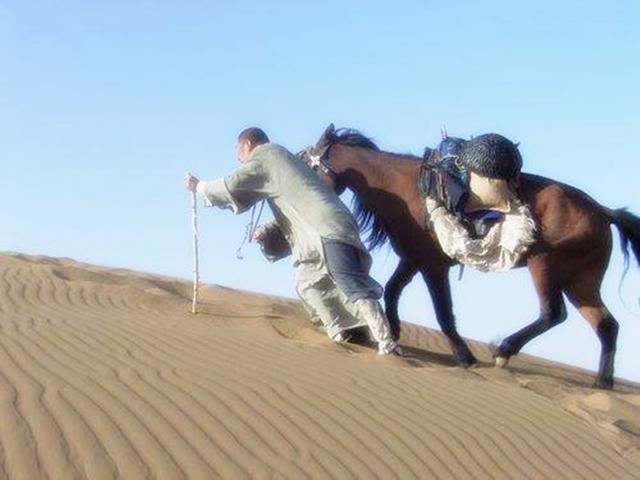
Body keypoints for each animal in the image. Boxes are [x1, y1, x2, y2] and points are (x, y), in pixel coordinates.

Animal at [300, 124, 640, 390]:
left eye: (306, 163)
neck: (405, 189)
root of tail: (602, 211)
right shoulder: (412, 259)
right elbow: (393, 291)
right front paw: (393, 335)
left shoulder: (433, 266)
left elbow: (443, 313)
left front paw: (464, 355)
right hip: (581, 280)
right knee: (606, 325)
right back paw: (602, 384)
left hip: (545, 266)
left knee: (552, 313)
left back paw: (504, 351)